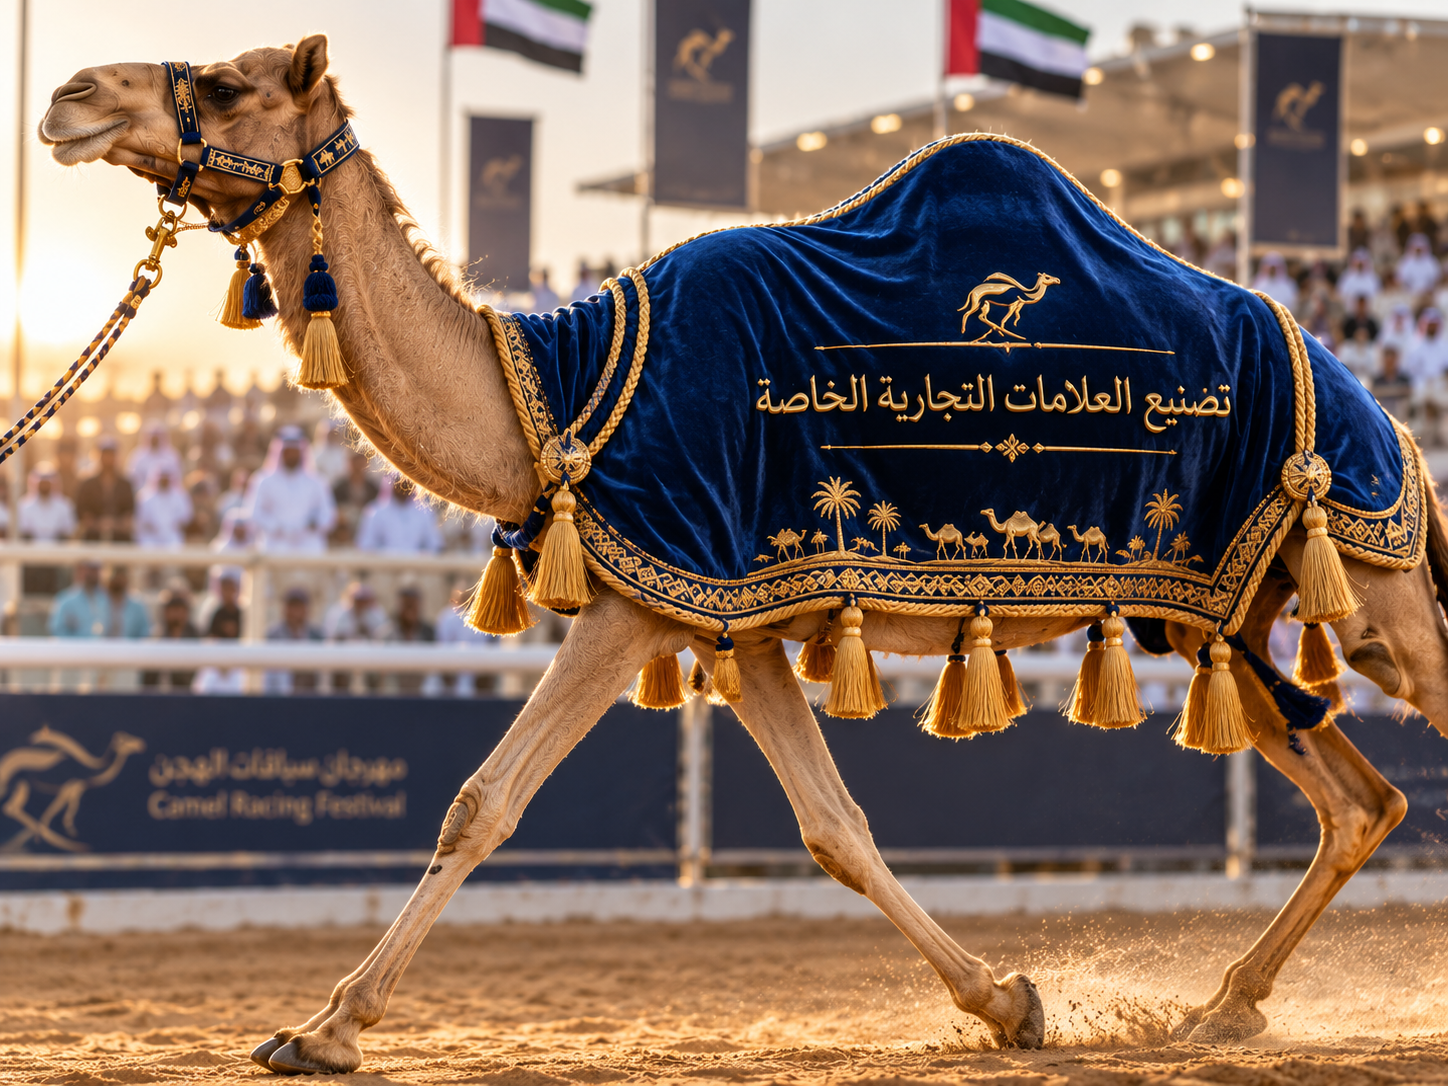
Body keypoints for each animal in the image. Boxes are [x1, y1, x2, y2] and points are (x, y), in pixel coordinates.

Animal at [40, 36, 1448, 1074]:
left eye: (228, 82)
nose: (69, 98)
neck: (557, 393)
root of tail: (1379, 409)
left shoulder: (643, 596)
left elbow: (479, 802)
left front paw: (323, 1027)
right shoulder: (738, 609)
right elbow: (833, 827)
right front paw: (1012, 1002)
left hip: (1361, 560)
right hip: (1222, 611)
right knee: (1357, 799)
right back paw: (1224, 1004)